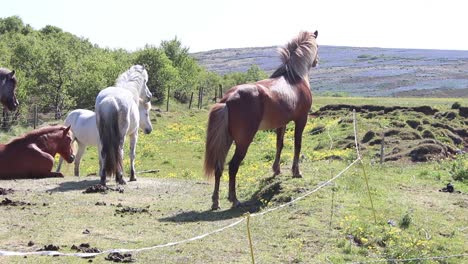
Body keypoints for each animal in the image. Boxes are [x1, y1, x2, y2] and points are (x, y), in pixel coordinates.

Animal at [204, 29, 318, 209]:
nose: (316, 62)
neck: (294, 78)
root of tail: (227, 99)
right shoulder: (301, 119)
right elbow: (297, 144)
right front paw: (296, 171)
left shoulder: (281, 124)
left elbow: (279, 145)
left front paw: (276, 169)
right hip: (243, 142)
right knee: (233, 166)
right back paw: (234, 199)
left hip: (226, 139)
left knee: (219, 167)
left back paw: (216, 202)